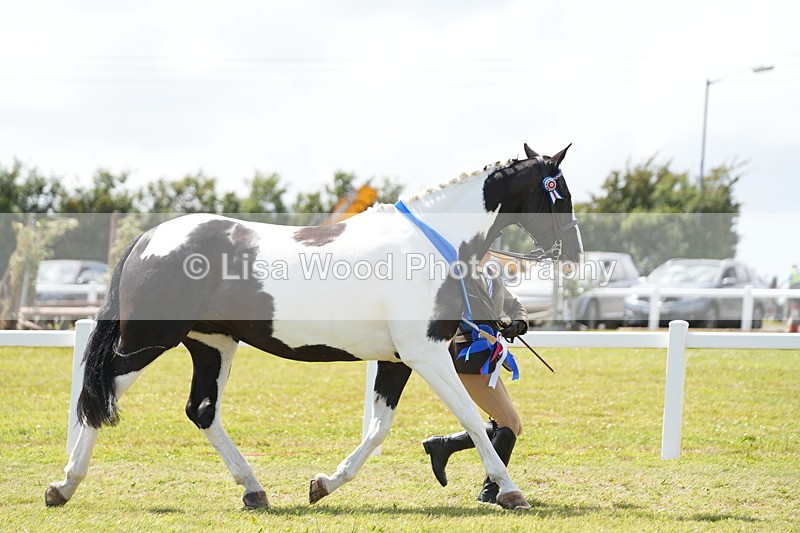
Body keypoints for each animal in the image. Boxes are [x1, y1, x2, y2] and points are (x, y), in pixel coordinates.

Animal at [45, 143, 583, 511]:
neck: (430, 243)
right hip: (147, 342)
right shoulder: (426, 352)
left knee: (201, 410)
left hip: (212, 344)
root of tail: (149, 239)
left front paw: (323, 484)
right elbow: (471, 419)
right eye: (560, 193)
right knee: (99, 397)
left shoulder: (397, 359)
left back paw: (254, 490)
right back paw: (63, 486)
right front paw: (510, 491)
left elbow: (378, 429)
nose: (575, 253)